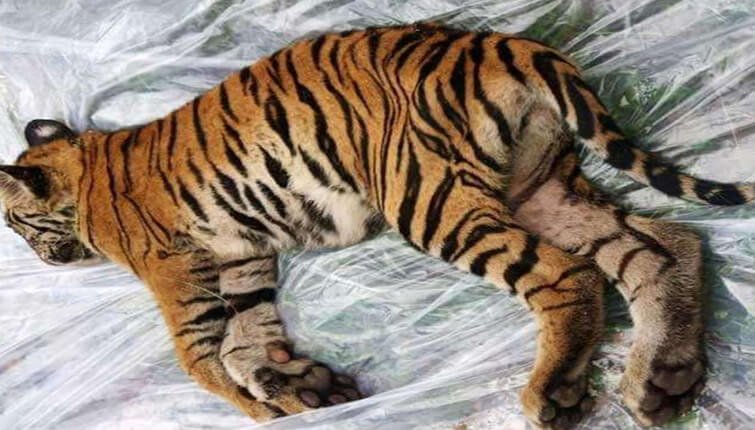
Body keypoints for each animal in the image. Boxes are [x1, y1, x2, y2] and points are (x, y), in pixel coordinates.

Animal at [0, 23, 752, 429]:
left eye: (16, 225)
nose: (41, 262)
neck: (83, 167)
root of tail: (500, 43)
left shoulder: (176, 270)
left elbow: (202, 358)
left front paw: (266, 409)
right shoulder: (243, 257)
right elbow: (247, 339)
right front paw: (303, 387)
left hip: (432, 197)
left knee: (570, 275)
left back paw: (556, 395)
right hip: (540, 187)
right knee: (665, 246)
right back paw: (666, 379)